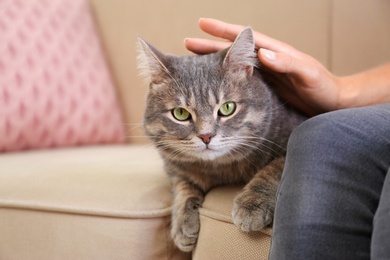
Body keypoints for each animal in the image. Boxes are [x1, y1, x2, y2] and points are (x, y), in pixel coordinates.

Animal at [137, 26, 304, 252]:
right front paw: (182, 222)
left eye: (227, 108)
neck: (221, 170)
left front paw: (252, 203)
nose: (206, 136)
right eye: (180, 113)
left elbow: (275, 167)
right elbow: (183, 187)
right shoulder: (173, 167)